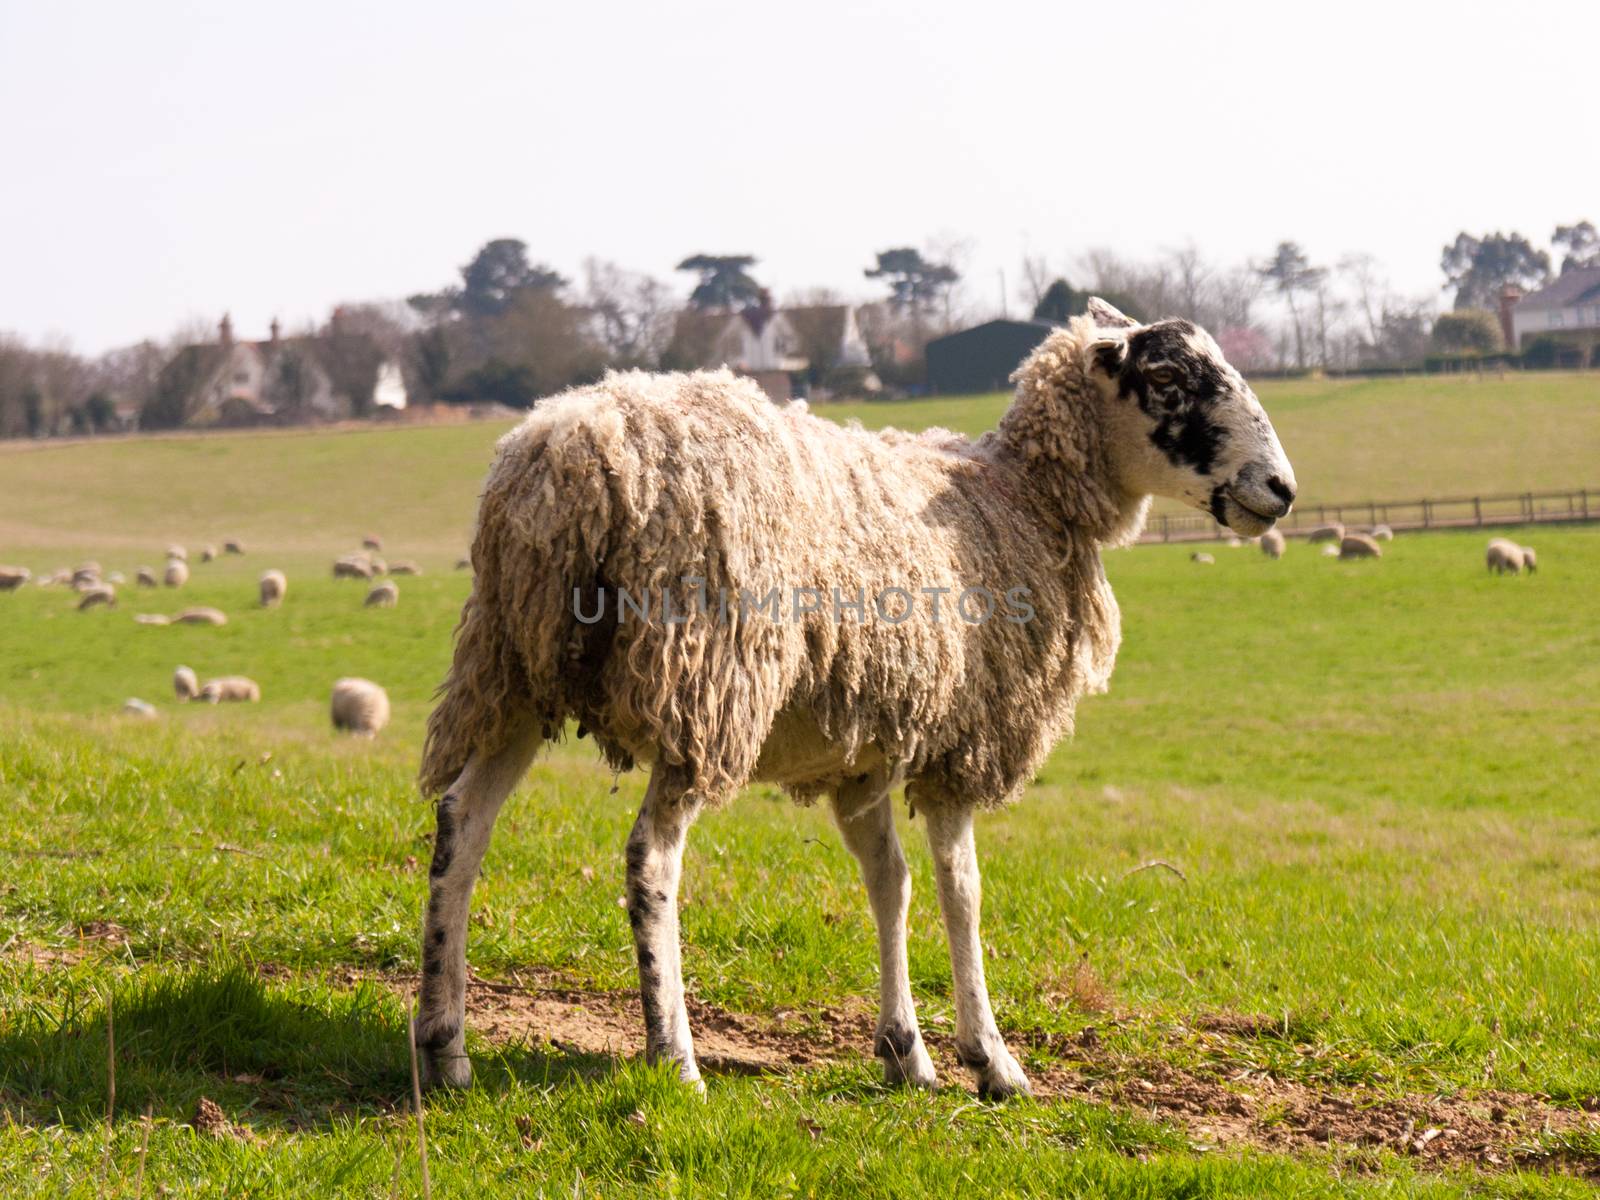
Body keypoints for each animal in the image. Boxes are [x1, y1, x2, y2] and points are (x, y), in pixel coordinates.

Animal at [412, 299, 1299, 1100]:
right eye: (1168, 379)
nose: (1281, 488)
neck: (1025, 496)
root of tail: (563, 456)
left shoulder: (862, 757)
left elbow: (890, 881)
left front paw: (906, 1050)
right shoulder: (963, 741)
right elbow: (962, 889)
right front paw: (992, 1059)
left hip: (513, 669)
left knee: (462, 823)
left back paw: (444, 1044)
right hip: (707, 687)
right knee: (649, 857)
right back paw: (675, 1058)